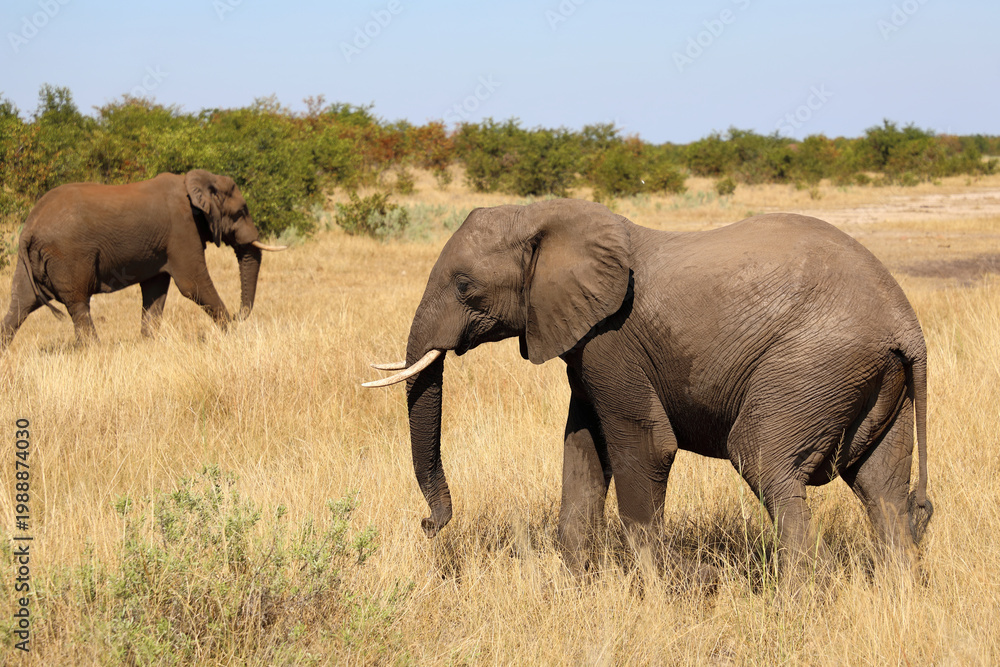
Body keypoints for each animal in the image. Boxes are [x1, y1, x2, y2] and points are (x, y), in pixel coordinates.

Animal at [1, 169, 286, 349]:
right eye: (241, 212)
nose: (239, 315)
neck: (195, 182)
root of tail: (29, 227)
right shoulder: (182, 229)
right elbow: (193, 285)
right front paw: (233, 336)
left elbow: (155, 291)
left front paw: (149, 344)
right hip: (68, 256)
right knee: (78, 304)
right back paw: (95, 351)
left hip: (30, 262)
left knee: (20, 304)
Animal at [365, 199, 933, 585]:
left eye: (465, 287)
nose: (428, 525)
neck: (544, 215)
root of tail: (906, 325)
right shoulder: (583, 342)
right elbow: (582, 448)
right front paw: (576, 585)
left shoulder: (613, 340)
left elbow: (645, 447)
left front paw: (670, 589)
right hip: (878, 381)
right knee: (881, 487)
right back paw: (898, 594)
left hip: (812, 364)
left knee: (766, 461)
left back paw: (792, 602)